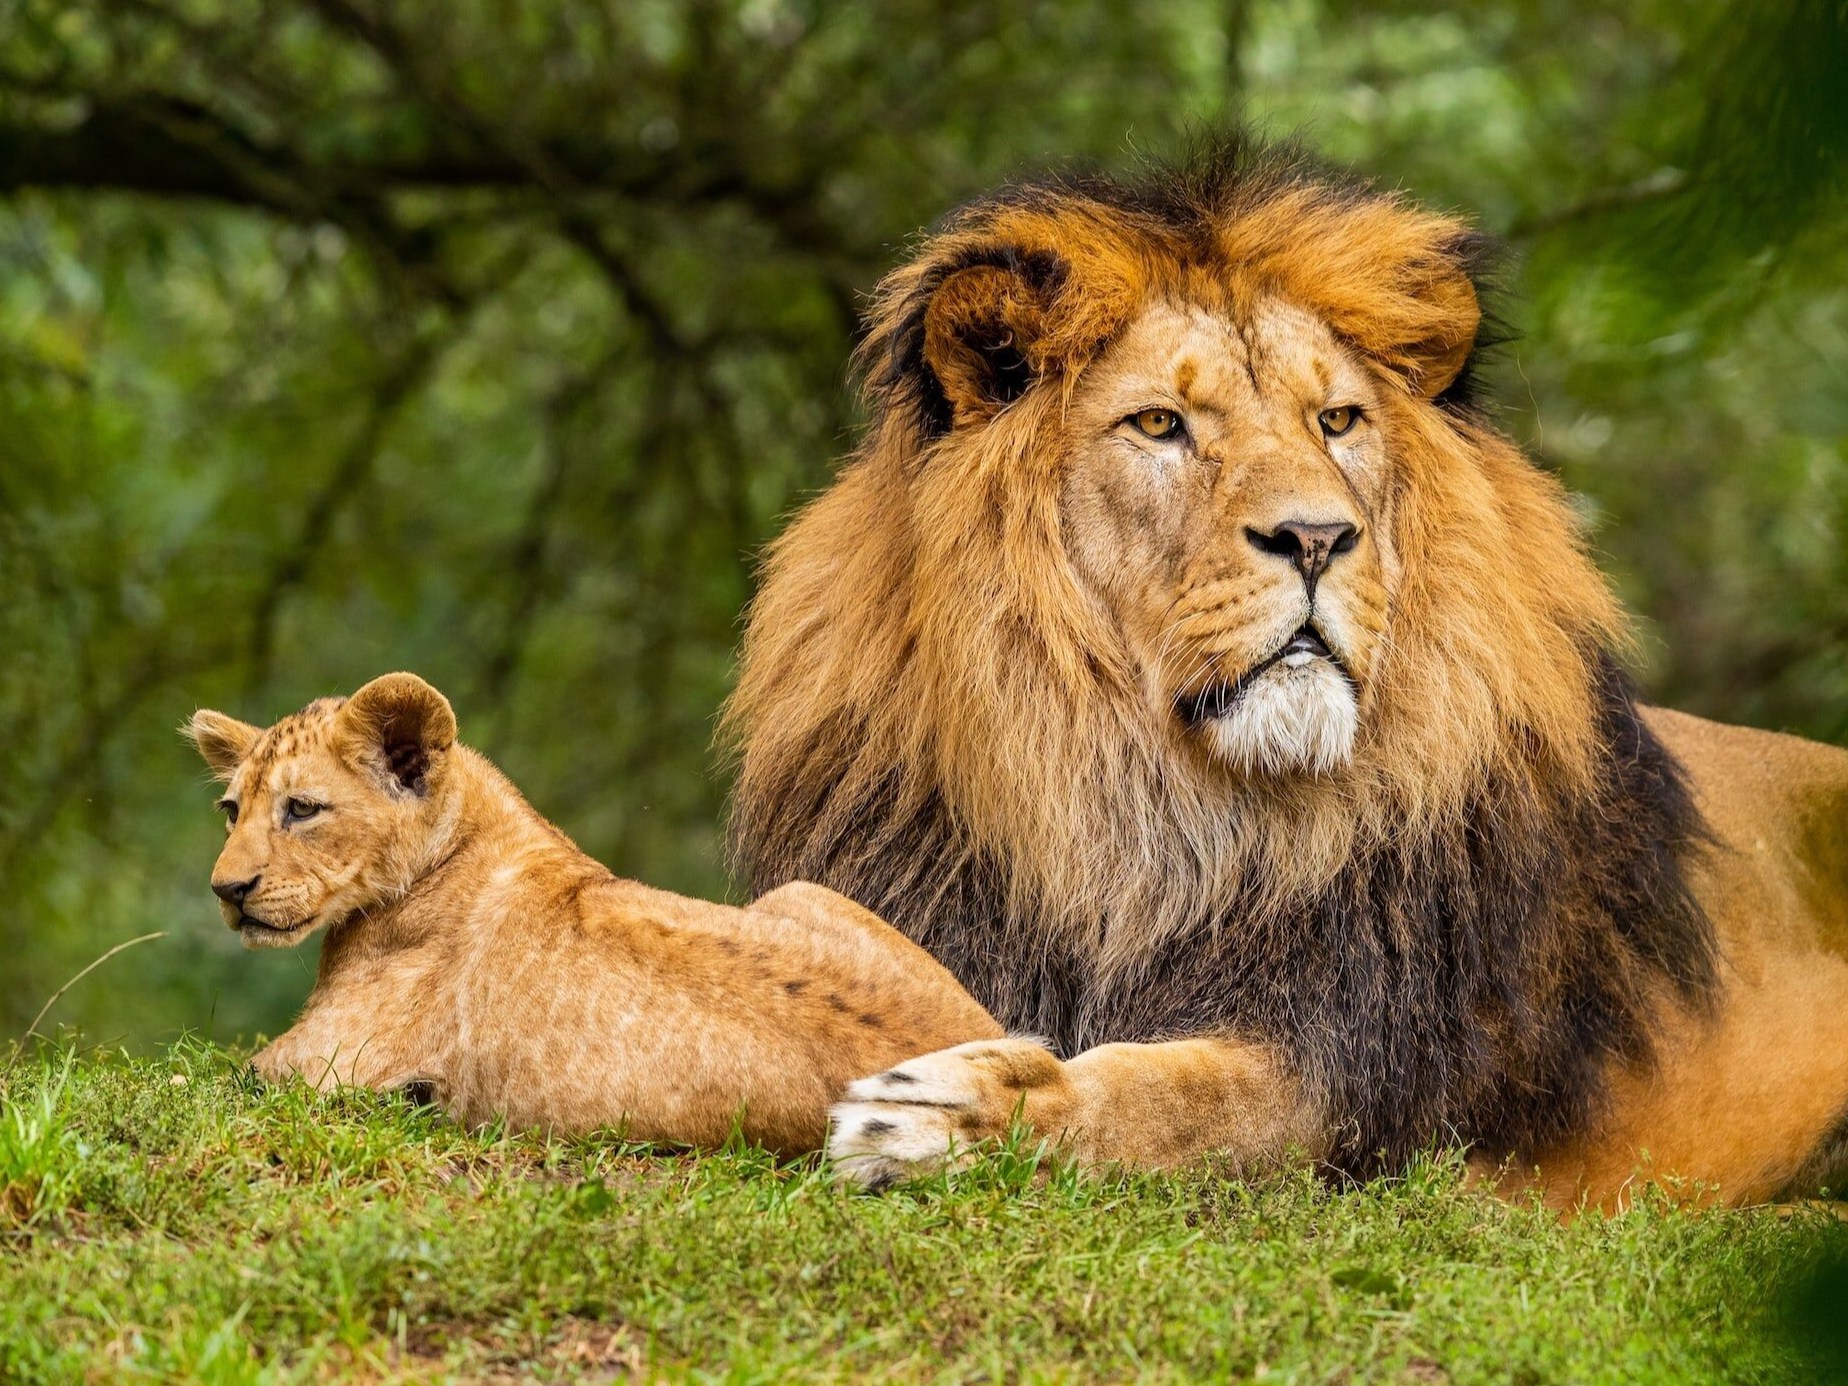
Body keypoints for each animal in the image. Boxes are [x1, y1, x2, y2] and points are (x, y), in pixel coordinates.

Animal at [720, 141, 1848, 1204]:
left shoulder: (1358, 1075)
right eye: (1161, 424)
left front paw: (955, 1114)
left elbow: (1170, 1097)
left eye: (1337, 421)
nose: (1316, 537)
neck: (1142, 817)